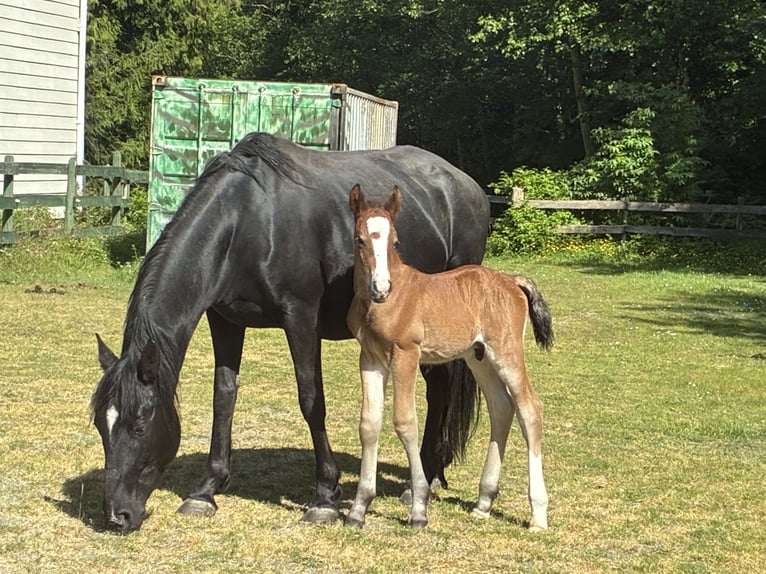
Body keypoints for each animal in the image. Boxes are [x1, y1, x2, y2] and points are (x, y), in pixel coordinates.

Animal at [90, 132, 490, 532]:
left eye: (140, 425)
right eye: (100, 426)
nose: (117, 515)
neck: (247, 222)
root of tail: (466, 185)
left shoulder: (300, 317)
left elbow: (311, 401)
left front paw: (325, 496)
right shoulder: (225, 320)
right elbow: (224, 397)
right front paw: (206, 489)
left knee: (439, 392)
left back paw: (423, 480)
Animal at [345, 184, 552, 531]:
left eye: (395, 241)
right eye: (360, 239)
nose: (381, 288)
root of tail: (511, 280)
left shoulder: (406, 354)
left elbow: (405, 422)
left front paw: (418, 508)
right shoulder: (370, 358)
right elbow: (369, 424)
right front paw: (358, 509)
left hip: (506, 351)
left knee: (529, 408)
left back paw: (538, 513)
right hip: (479, 357)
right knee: (502, 407)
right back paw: (484, 501)